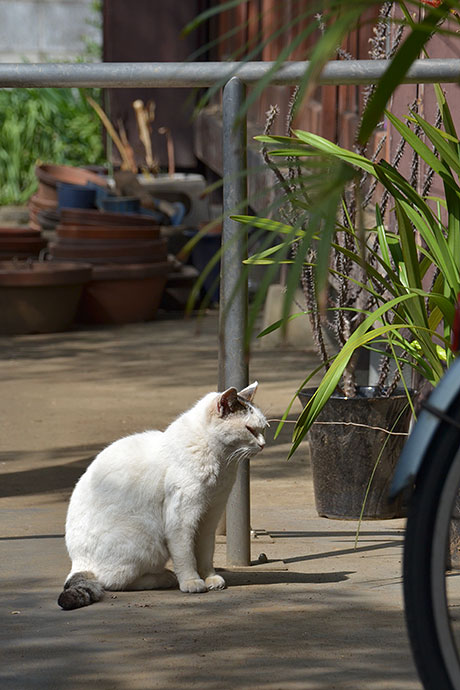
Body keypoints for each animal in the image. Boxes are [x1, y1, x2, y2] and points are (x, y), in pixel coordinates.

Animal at [58, 382, 268, 608]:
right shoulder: (182, 520)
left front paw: (210, 577)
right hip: (145, 538)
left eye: (263, 429)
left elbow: (205, 552)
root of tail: (78, 563)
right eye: (250, 429)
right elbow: (185, 555)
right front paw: (192, 581)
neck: (221, 464)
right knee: (114, 581)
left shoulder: (209, 517)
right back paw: (165, 577)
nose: (263, 444)